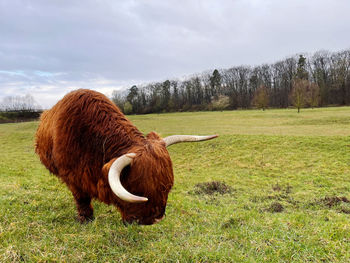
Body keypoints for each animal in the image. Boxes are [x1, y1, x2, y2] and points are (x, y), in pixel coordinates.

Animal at [34, 89, 216, 226]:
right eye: (139, 191)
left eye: (167, 187)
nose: (157, 219)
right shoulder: (72, 177)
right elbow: (81, 198)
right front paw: (85, 218)